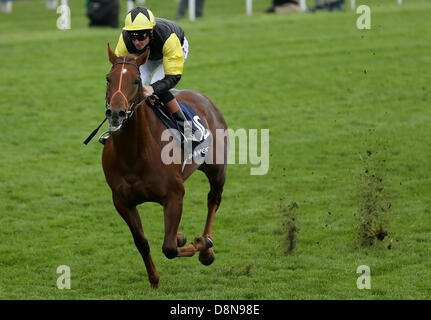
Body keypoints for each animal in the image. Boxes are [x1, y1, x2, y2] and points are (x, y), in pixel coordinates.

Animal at [101, 45, 230, 290]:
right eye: (108, 78)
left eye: (136, 81)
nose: (116, 113)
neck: (134, 154)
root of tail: (204, 99)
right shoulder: (122, 201)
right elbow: (142, 242)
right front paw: (154, 279)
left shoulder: (174, 195)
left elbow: (169, 248)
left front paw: (199, 244)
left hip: (217, 169)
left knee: (213, 201)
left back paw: (206, 249)